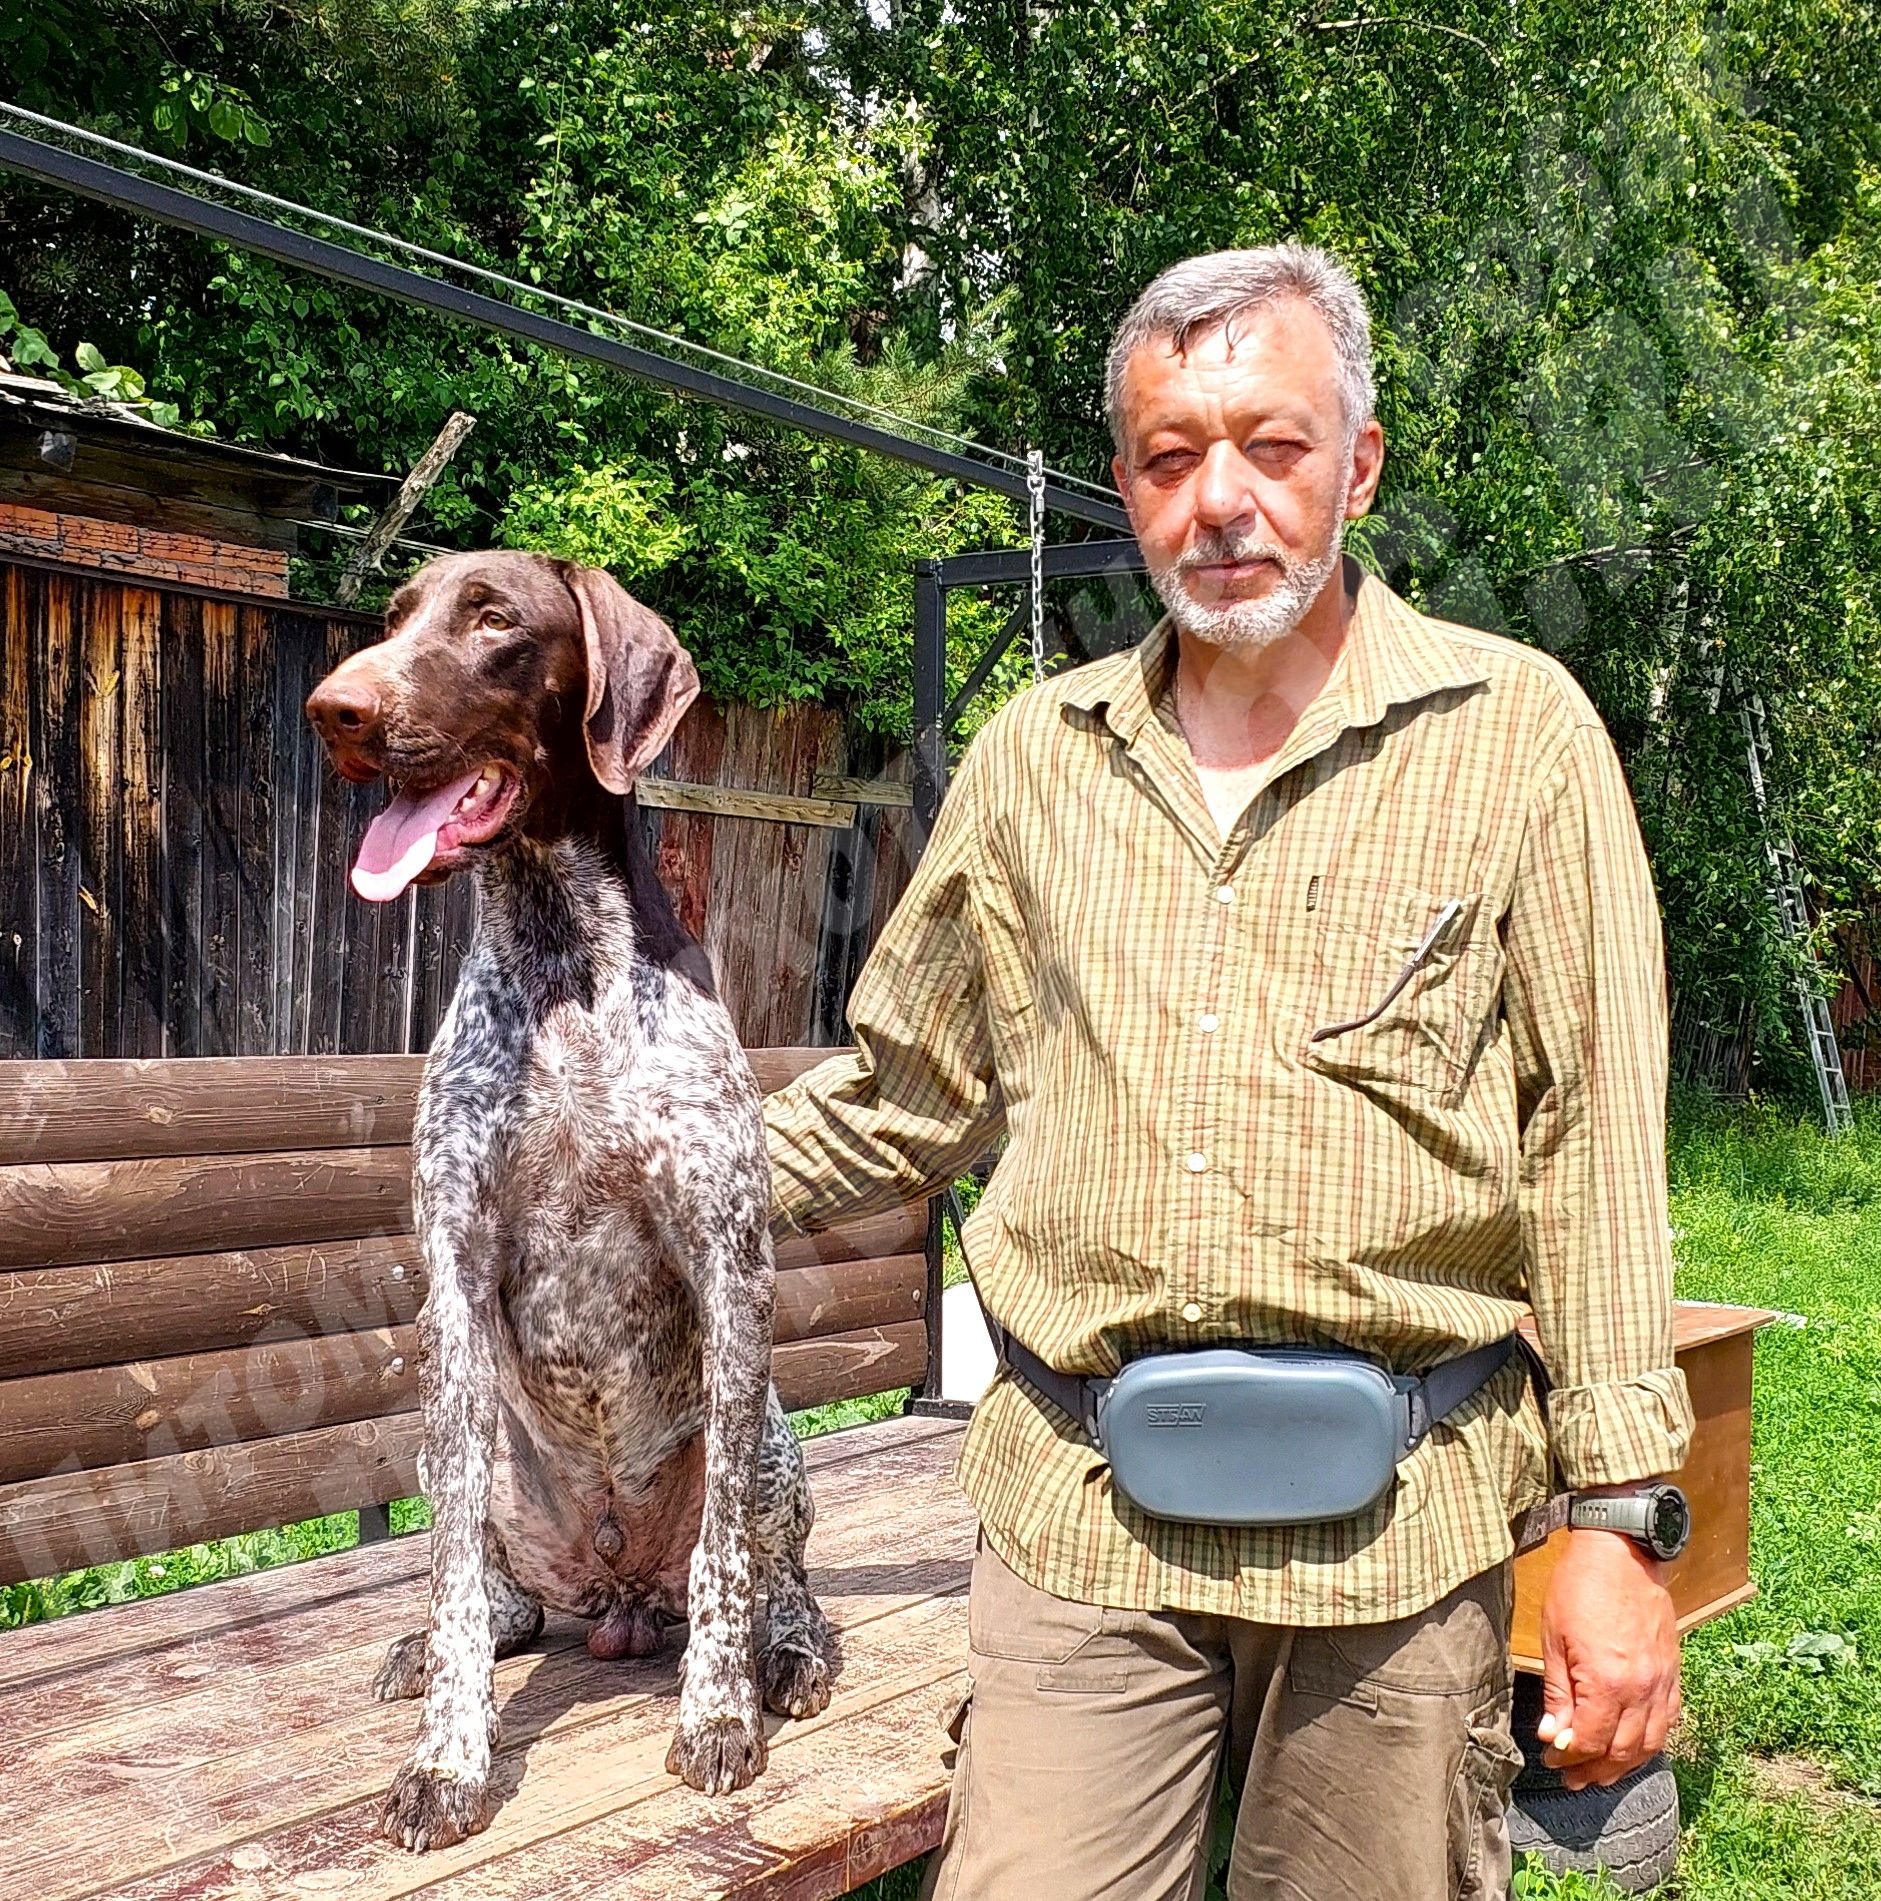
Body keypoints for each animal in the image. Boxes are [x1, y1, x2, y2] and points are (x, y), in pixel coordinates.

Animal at [306, 550, 835, 1852]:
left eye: (492, 618)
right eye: (393, 617)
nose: (334, 709)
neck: (559, 963)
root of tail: (614, 1591)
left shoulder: (729, 1264)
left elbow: (725, 1566)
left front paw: (719, 1714)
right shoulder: (451, 1279)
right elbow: (447, 1576)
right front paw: (447, 1753)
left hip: (772, 1438)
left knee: (771, 1577)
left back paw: (784, 1656)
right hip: (478, 1452)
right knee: (494, 1593)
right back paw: (453, 1640)